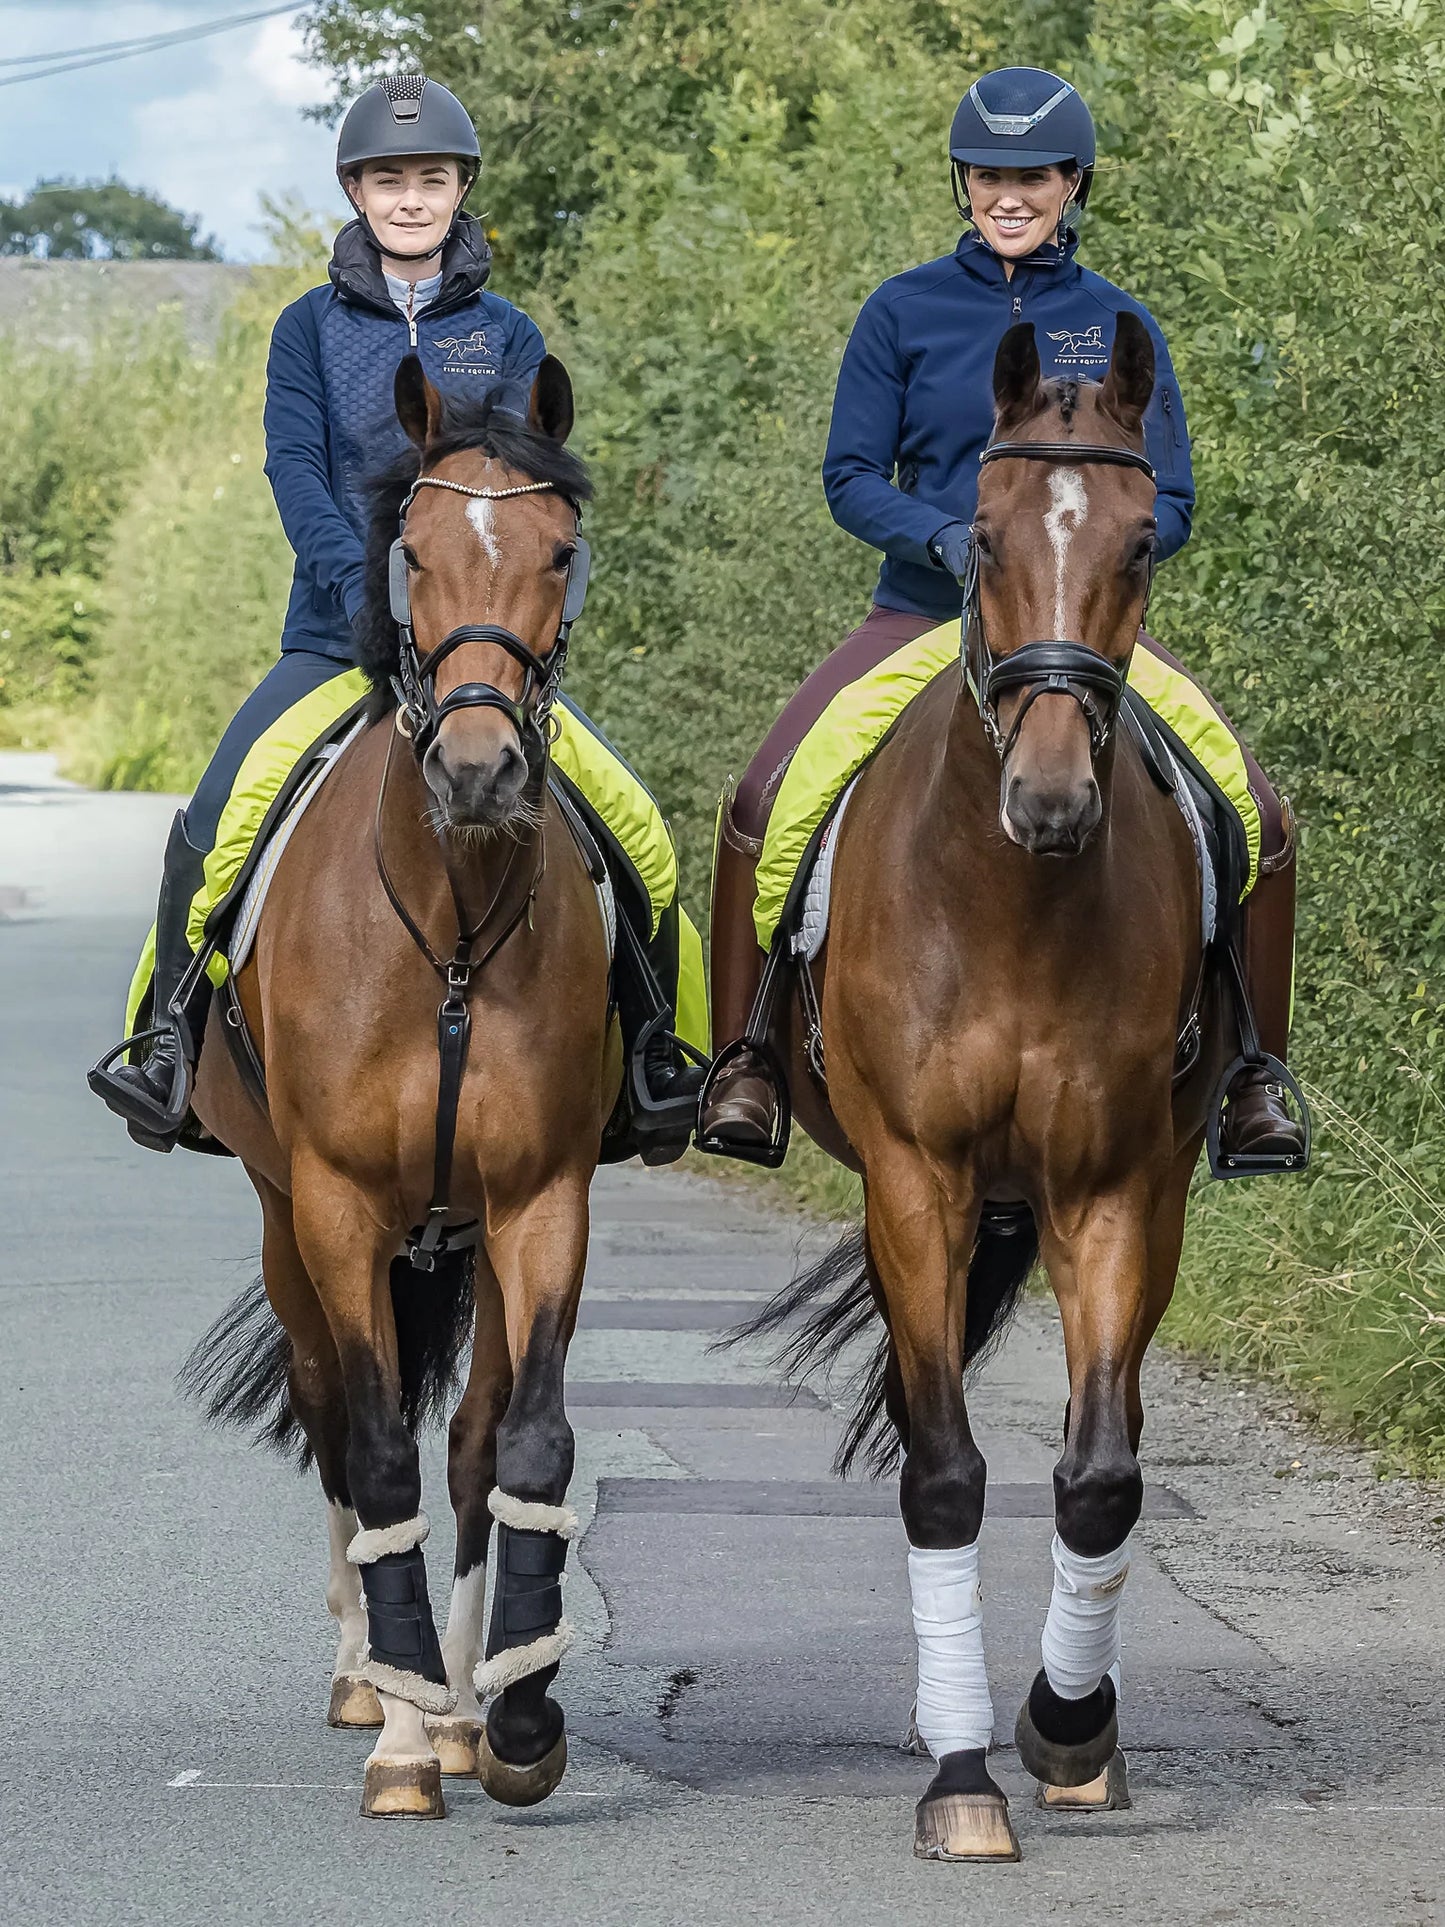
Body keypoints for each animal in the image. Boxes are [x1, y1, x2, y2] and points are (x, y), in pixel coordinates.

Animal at [180, 354, 616, 1811]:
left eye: (558, 552)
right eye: (409, 550)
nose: (477, 771)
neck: (453, 933)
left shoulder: (540, 1200)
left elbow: (522, 1442)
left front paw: (515, 1717)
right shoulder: (335, 1206)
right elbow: (371, 1445)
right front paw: (407, 1737)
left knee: (472, 1436)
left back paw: (468, 1700)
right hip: (283, 1223)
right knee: (327, 1409)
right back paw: (375, 1679)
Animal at [759, 319, 1233, 1865]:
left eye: (1142, 540)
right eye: (976, 534)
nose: (1052, 801)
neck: (1014, 898)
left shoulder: (1114, 1189)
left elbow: (1097, 1475)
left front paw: (1065, 1727)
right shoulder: (919, 1182)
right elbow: (943, 1472)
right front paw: (961, 1773)